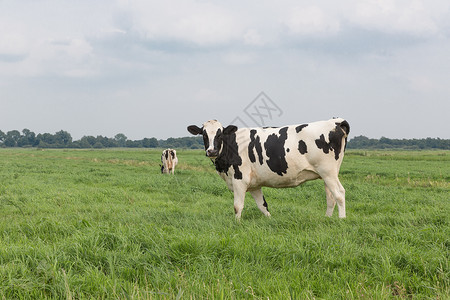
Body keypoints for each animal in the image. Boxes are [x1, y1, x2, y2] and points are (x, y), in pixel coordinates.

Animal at [188, 118, 350, 220]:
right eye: (203, 134)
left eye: (219, 134)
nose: (211, 151)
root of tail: (334, 121)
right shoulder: (254, 185)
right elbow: (263, 205)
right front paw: (270, 220)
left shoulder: (239, 179)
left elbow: (237, 206)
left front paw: (236, 224)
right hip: (328, 174)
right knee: (330, 197)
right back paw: (327, 218)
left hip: (328, 172)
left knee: (339, 193)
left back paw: (341, 219)